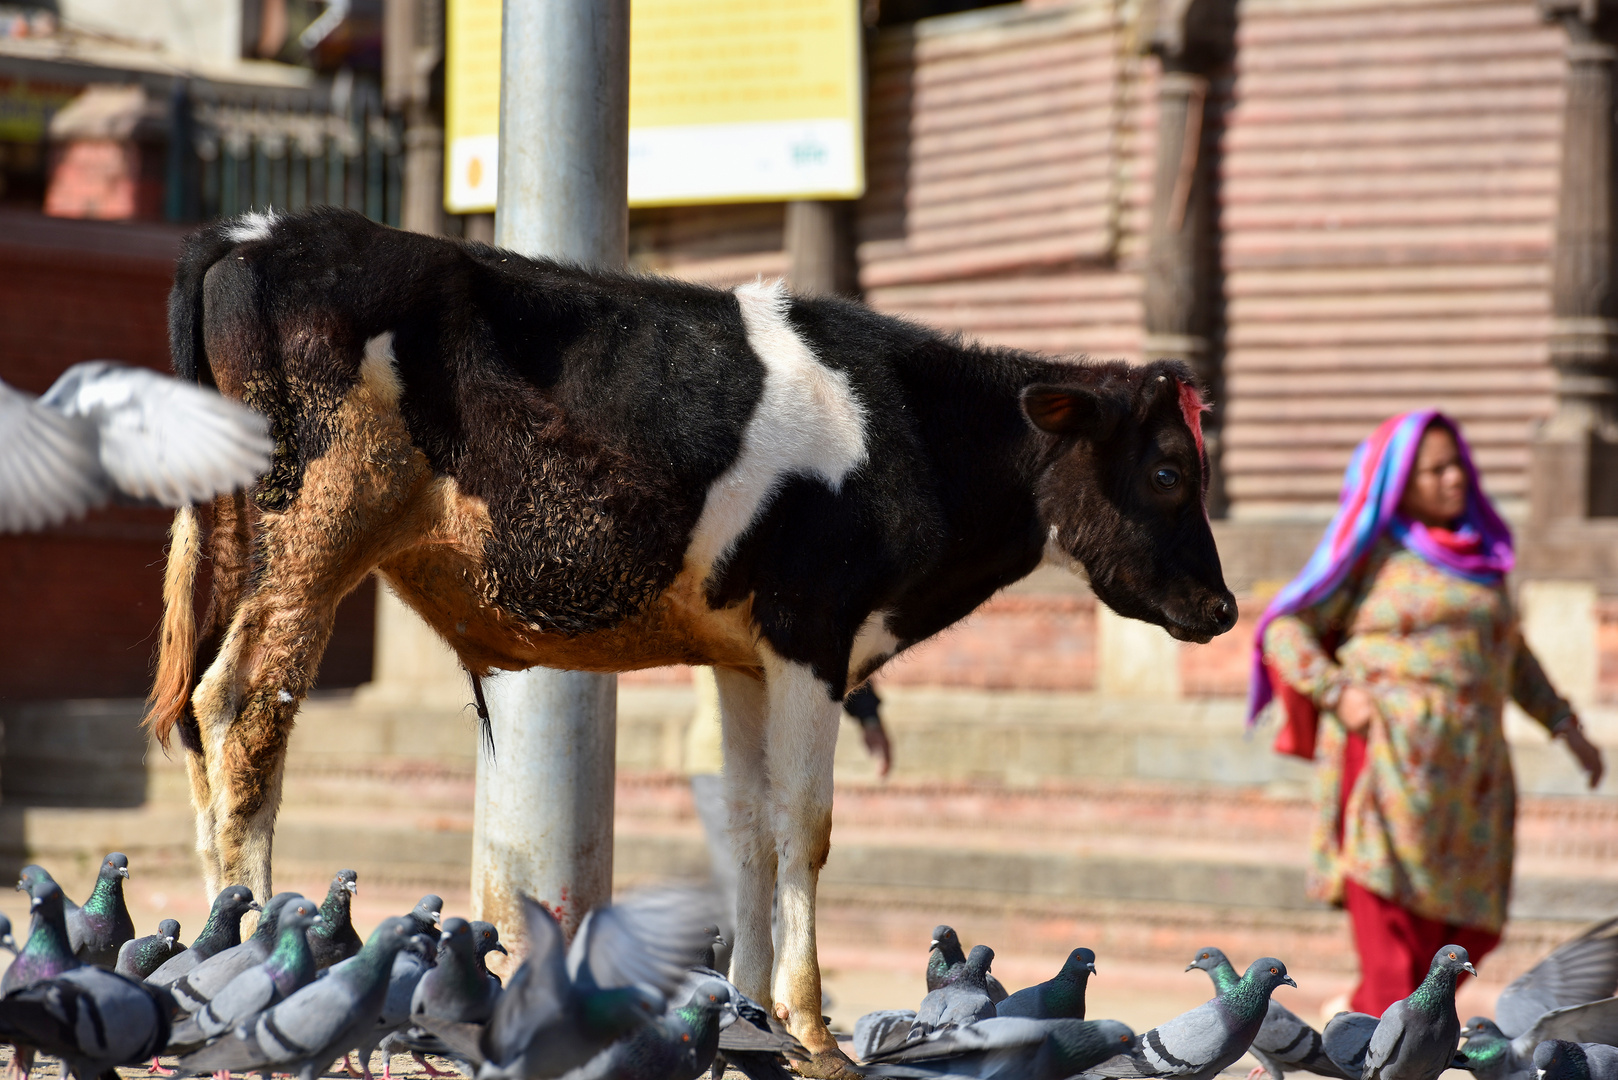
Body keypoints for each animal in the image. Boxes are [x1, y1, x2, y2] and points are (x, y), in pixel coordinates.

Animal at [152, 207, 1236, 1075]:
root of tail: (258, 232)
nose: (1223, 608)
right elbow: (804, 823)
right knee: (243, 710)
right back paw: (257, 970)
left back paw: (212, 960)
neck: (916, 431)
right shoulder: (812, 631)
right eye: (1171, 470)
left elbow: (749, 823)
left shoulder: (747, 653)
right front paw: (812, 1029)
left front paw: (756, 1015)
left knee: (200, 722)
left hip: (235, 532)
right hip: (319, 520)